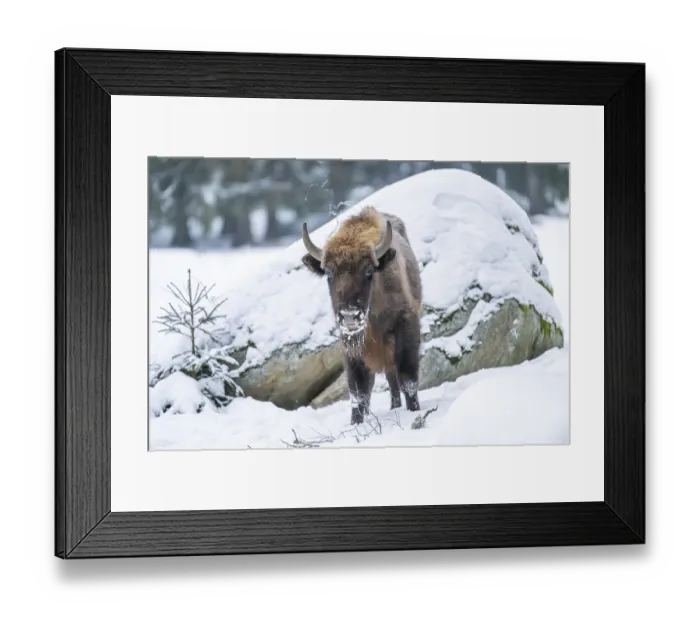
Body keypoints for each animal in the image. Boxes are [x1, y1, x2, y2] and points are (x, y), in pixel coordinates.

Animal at [301, 206, 423, 425]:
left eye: (368, 271)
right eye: (329, 274)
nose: (350, 317)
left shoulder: (406, 327)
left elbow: (408, 377)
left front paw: (414, 411)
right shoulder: (351, 346)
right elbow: (358, 389)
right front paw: (356, 423)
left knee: (394, 378)